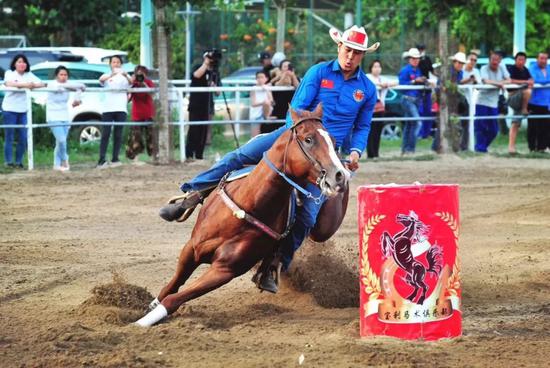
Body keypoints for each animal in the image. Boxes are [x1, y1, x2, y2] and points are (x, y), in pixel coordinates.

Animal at [135, 103, 350, 328]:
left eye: (333, 141)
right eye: (308, 139)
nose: (339, 176)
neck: (249, 205)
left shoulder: (225, 270)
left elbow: (175, 298)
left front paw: (142, 322)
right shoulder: (192, 248)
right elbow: (172, 286)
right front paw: (148, 308)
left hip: (324, 228)